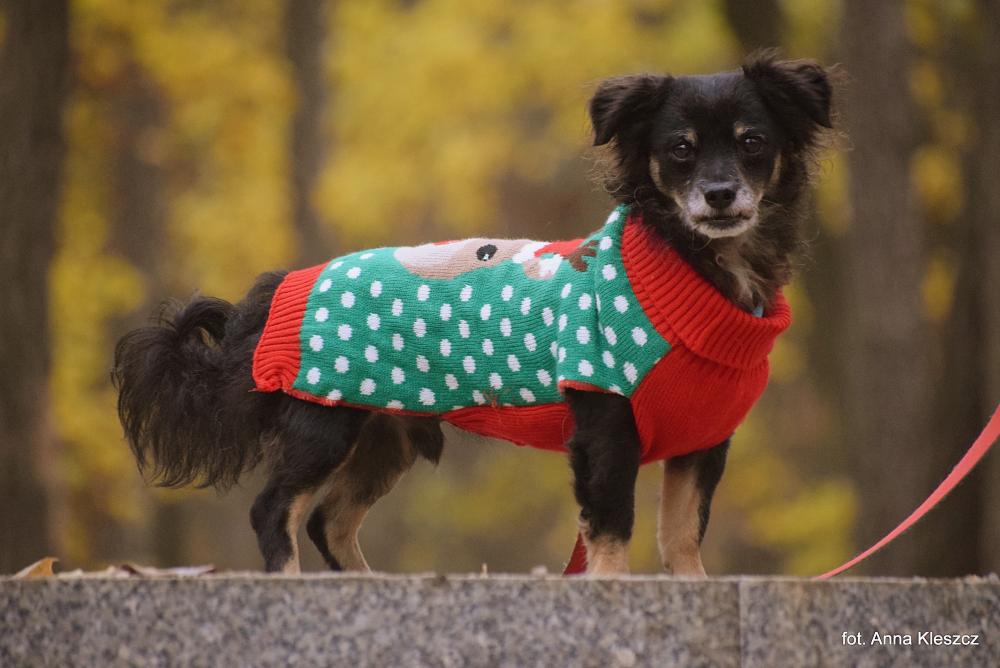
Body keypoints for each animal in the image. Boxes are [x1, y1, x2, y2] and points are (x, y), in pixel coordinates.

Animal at [113, 53, 831, 576]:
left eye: (753, 142)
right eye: (680, 149)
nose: (719, 193)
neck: (693, 274)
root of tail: (281, 289)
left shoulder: (704, 443)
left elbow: (681, 539)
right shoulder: (606, 428)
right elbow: (611, 533)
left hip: (386, 435)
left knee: (328, 522)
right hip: (325, 424)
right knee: (275, 512)